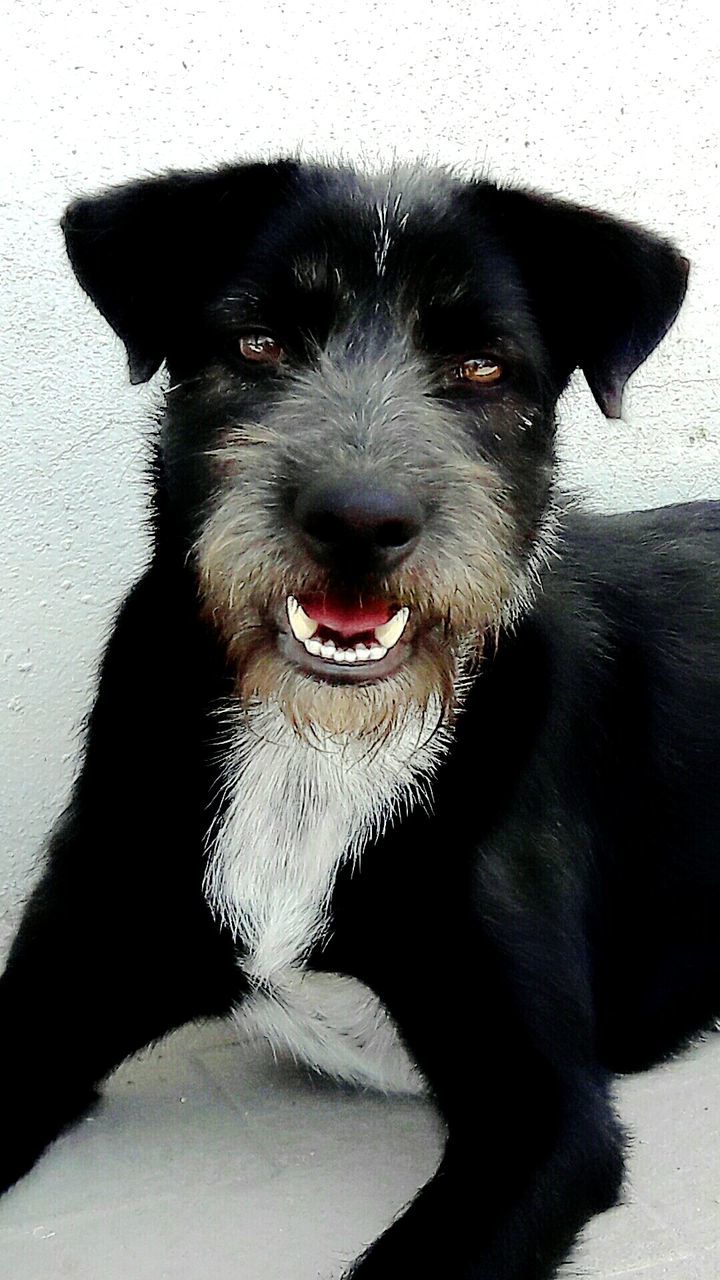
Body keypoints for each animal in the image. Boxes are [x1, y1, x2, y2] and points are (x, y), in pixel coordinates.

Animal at [1, 162, 717, 1280]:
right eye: (256, 342)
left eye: (482, 365)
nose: (359, 521)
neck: (319, 746)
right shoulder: (52, 996)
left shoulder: (543, 1113)